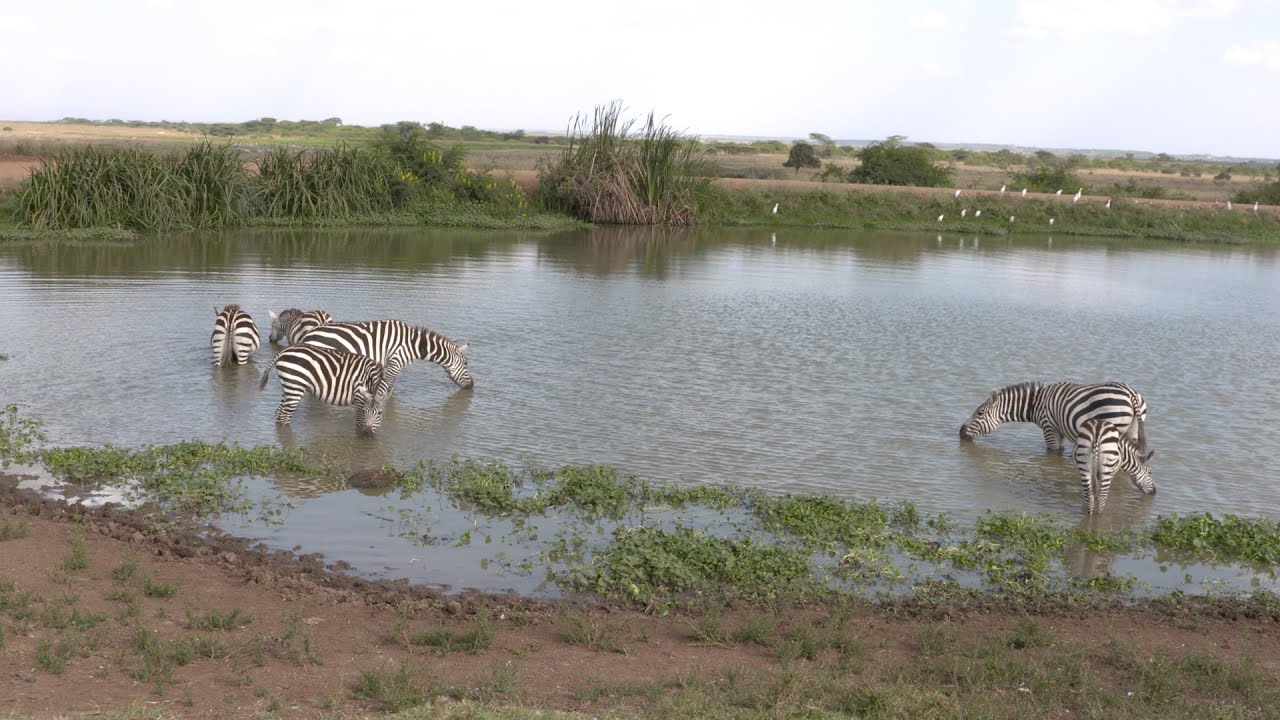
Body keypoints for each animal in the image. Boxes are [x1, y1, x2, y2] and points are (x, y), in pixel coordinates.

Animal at [257, 345, 390, 433]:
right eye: (365, 411)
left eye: (380, 413)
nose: (367, 433)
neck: (370, 379)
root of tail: (283, 351)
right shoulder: (359, 398)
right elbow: (358, 422)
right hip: (296, 386)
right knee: (285, 415)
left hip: (289, 386)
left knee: (279, 412)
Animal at [300, 319, 473, 390]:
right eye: (466, 364)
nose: (472, 386)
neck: (413, 344)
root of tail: (308, 334)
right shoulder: (396, 361)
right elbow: (388, 386)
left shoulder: (387, 364)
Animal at [959, 381, 1148, 453]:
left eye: (979, 413)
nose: (960, 432)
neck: (1036, 404)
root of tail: (1130, 393)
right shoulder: (1060, 429)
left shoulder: (1049, 428)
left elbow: (1053, 452)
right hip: (1132, 430)